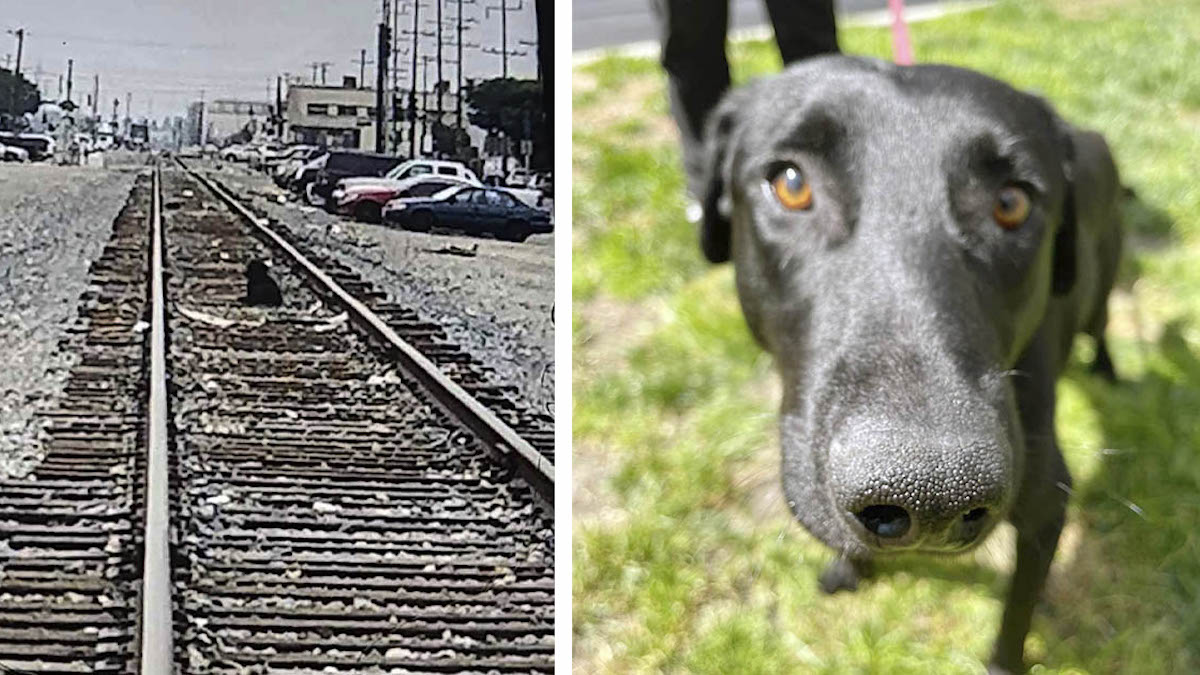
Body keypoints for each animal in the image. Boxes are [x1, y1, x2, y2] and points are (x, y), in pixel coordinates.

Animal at [700, 55, 1118, 667]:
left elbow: (1016, 618)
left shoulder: (1047, 505)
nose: (934, 493)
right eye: (792, 184)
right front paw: (851, 568)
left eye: (1011, 203)